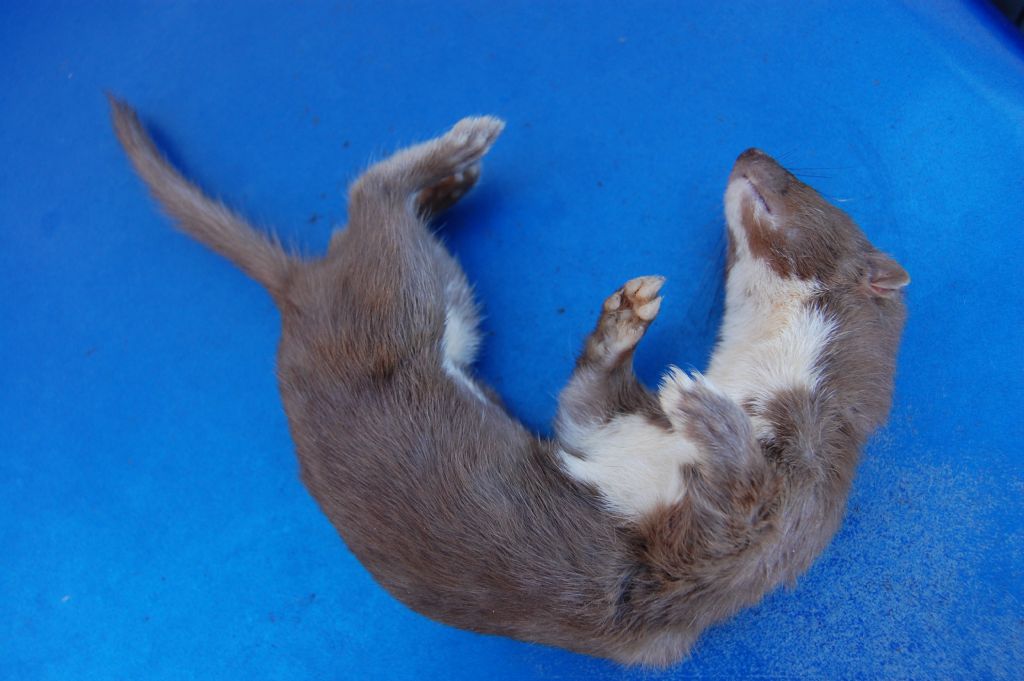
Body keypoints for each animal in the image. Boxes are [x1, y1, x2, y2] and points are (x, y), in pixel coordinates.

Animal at [112, 98, 909, 667]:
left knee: (373, 201)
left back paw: (461, 153)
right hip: (432, 302)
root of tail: (298, 291)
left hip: (411, 300)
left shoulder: (771, 518)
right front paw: (628, 315)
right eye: (785, 166)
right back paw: (459, 166)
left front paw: (704, 408)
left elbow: (737, 503)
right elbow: (582, 404)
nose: (749, 149)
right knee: (377, 203)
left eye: (800, 181)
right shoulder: (611, 430)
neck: (751, 382)